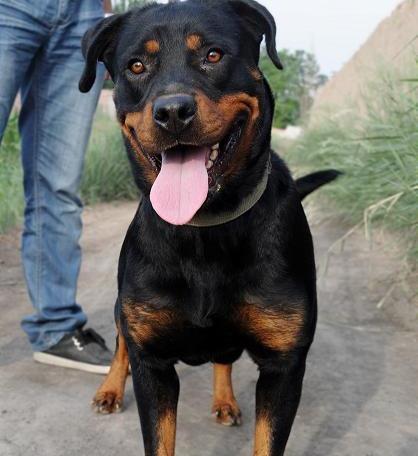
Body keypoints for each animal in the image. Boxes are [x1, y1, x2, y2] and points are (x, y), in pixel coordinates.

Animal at [79, 0, 340, 456]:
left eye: (213, 55)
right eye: (135, 66)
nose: (172, 112)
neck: (204, 229)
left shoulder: (284, 365)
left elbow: (266, 439)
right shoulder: (153, 363)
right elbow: (155, 425)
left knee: (222, 358)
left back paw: (224, 399)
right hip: (121, 308)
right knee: (121, 344)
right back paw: (110, 389)